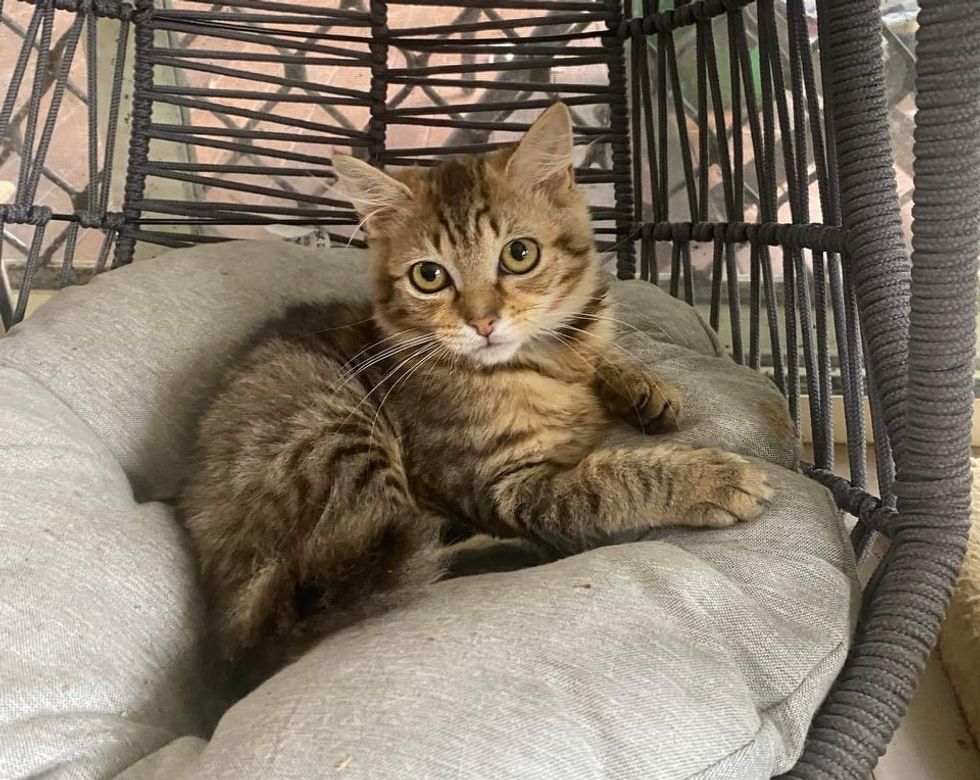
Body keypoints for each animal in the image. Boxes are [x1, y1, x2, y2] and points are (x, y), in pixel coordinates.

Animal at [180, 102, 768, 688]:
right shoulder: (500, 486)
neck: (537, 363)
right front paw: (708, 477)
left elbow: (602, 355)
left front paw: (642, 384)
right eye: (429, 275)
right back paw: (514, 553)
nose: (483, 322)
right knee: (398, 568)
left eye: (520, 254)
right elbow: (604, 482)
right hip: (336, 426)